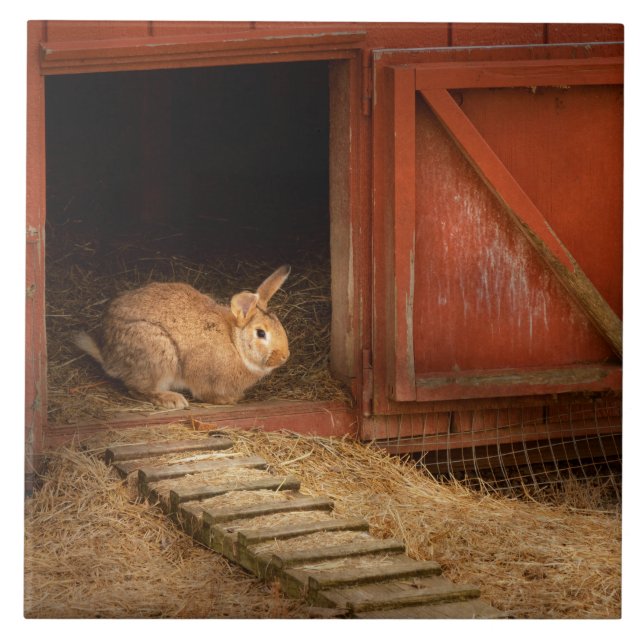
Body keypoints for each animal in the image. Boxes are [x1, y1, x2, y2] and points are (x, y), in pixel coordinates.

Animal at [74, 265, 291, 409]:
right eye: (261, 333)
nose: (284, 356)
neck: (234, 342)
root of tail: (108, 356)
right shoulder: (204, 376)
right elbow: (206, 393)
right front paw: (228, 400)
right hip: (159, 354)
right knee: (137, 389)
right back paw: (172, 400)